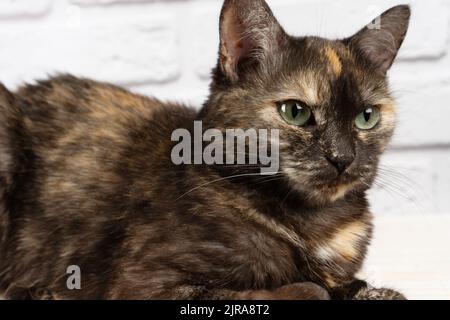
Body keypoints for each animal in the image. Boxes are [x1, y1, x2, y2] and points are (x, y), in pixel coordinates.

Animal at [0, 0, 412, 300]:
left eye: (366, 117)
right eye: (295, 111)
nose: (343, 157)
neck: (313, 221)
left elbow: (374, 291)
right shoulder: (145, 282)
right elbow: (307, 290)